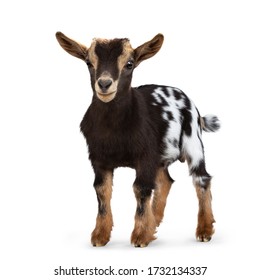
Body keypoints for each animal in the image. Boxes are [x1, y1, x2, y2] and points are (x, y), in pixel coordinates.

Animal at [55, 31, 219, 248]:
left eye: (130, 63)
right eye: (88, 62)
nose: (104, 84)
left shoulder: (145, 156)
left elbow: (140, 188)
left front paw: (140, 236)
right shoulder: (98, 159)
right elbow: (102, 190)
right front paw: (100, 235)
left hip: (193, 143)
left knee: (201, 178)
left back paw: (204, 230)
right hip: (160, 156)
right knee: (165, 181)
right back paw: (154, 222)